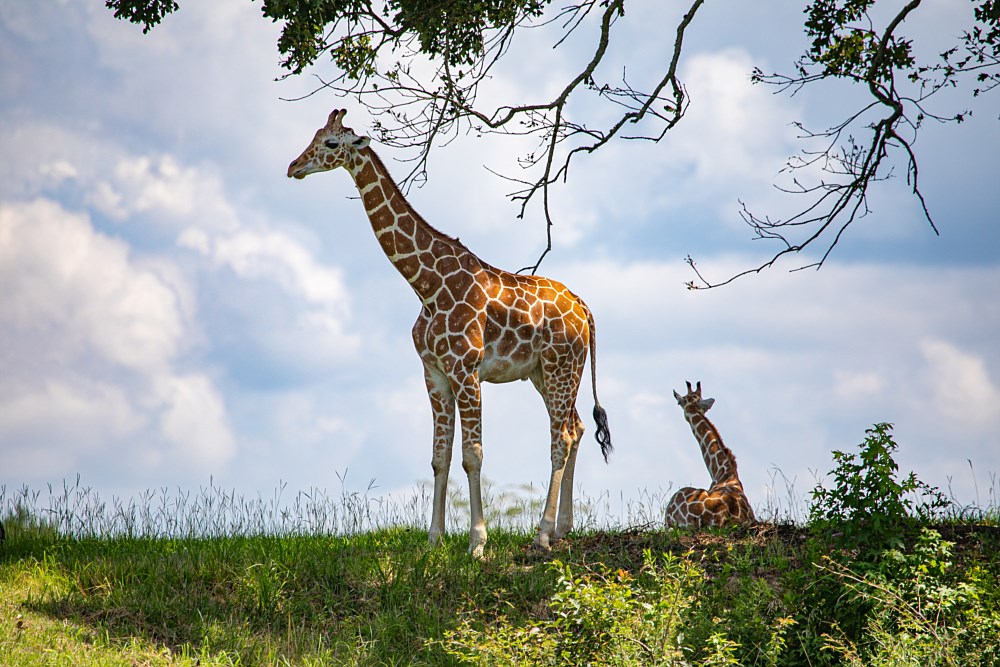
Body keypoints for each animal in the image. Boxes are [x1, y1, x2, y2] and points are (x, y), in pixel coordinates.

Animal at [286, 111, 612, 560]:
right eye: (314, 137)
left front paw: (477, 543)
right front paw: (433, 540)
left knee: (560, 437)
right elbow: (439, 457)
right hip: (546, 372)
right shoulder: (434, 373)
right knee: (577, 428)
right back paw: (564, 528)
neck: (425, 284)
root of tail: (584, 308)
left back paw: (543, 534)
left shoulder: (467, 371)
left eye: (332, 144)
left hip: (562, 366)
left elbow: (472, 455)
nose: (294, 167)